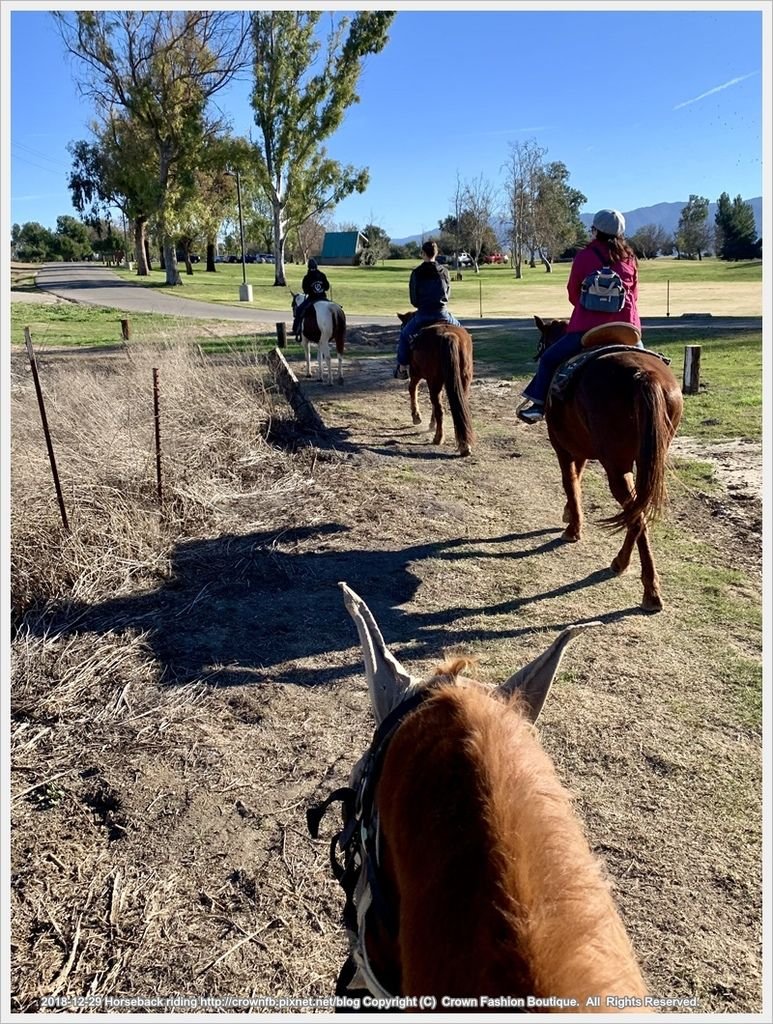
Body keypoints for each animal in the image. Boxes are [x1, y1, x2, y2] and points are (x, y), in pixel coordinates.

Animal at [395, 311, 475, 456]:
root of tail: (448, 335)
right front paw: (431, 424)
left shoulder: (416, 374)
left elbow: (412, 389)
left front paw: (416, 417)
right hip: (462, 381)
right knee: (457, 408)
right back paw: (464, 445)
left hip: (433, 379)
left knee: (439, 409)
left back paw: (438, 438)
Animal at [532, 315, 683, 610]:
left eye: (542, 341)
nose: (537, 355)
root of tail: (643, 375)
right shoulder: (579, 448)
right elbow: (577, 480)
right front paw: (569, 514)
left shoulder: (563, 447)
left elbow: (570, 482)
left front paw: (573, 528)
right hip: (643, 463)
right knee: (638, 511)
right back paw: (633, 572)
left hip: (616, 466)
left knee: (635, 515)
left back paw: (644, 585)